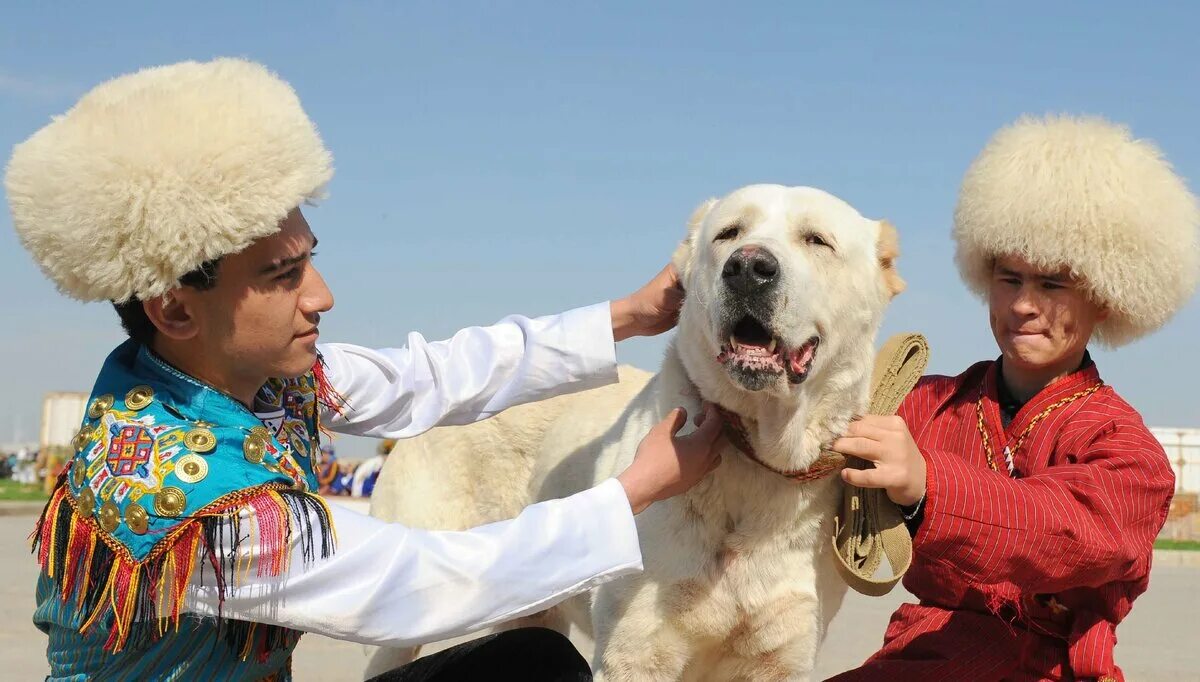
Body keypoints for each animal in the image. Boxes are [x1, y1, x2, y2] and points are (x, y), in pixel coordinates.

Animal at [369, 183, 902, 677]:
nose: (748, 267)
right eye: (728, 234)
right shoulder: (635, 653)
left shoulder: (779, 660)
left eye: (817, 240)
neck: (758, 456)